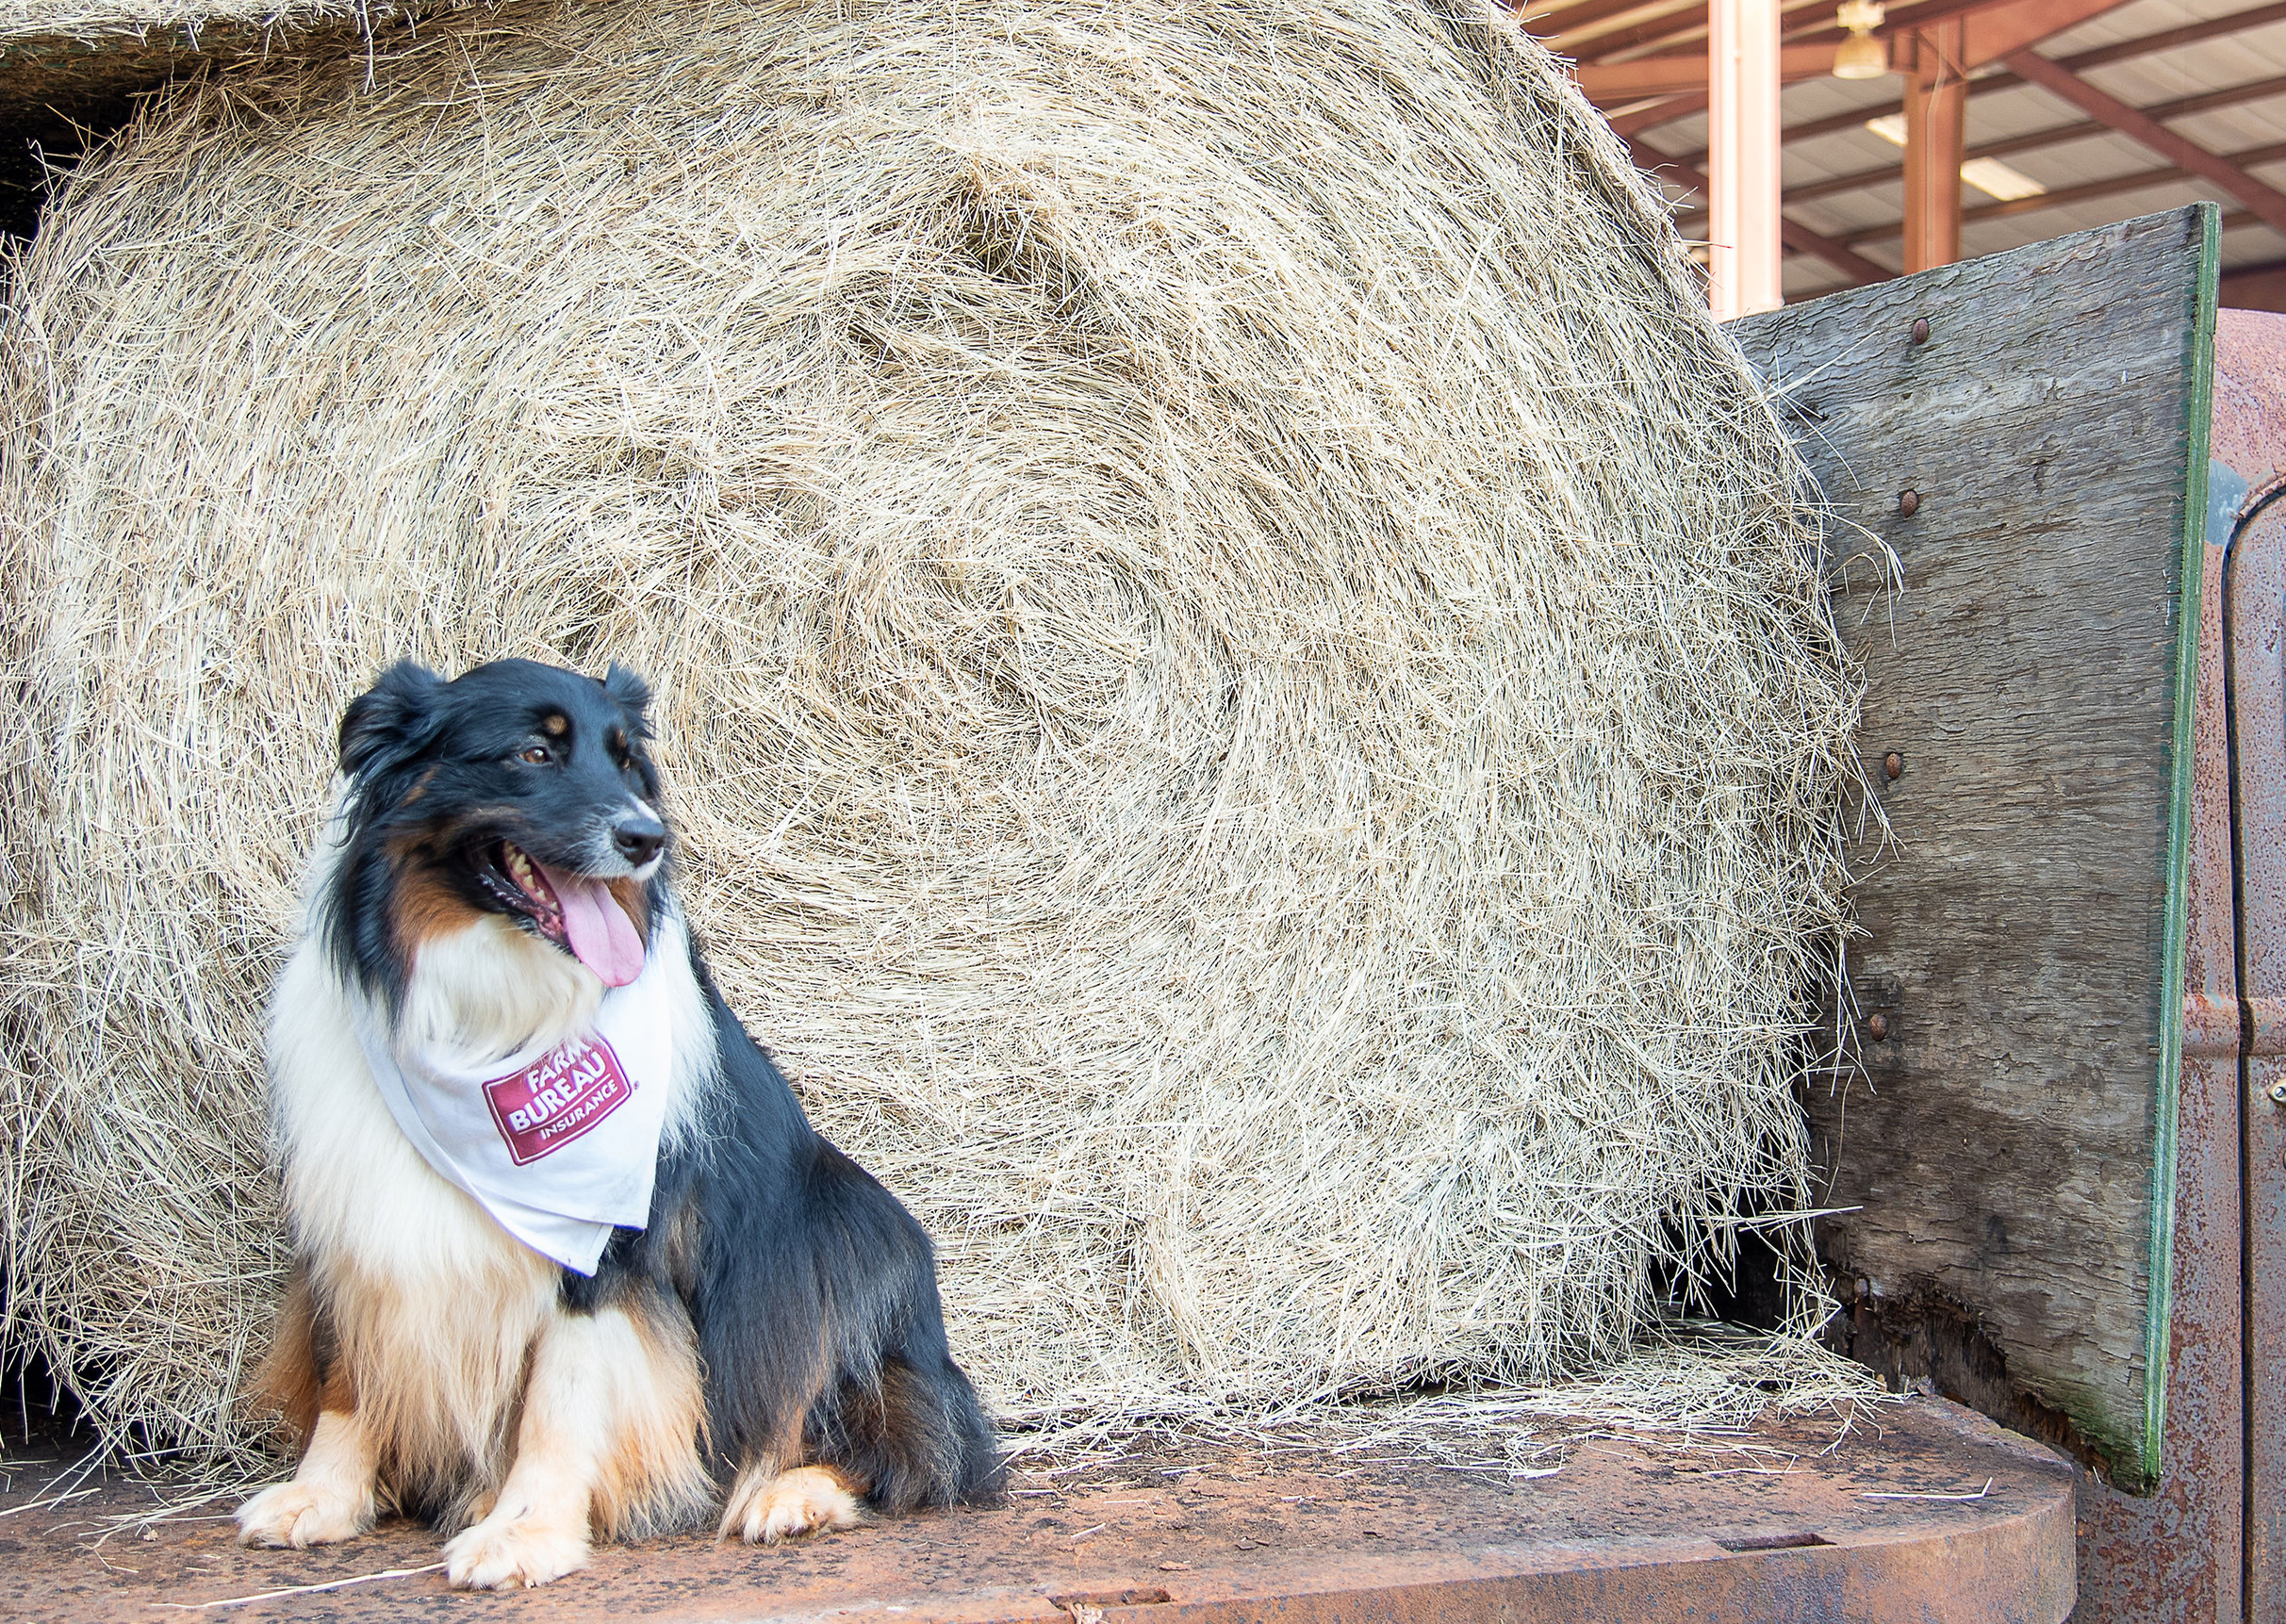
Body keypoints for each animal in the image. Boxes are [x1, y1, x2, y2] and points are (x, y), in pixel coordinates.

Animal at [229, 657, 1001, 1589]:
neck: (486, 1020)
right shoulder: (356, 1212)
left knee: (909, 1439)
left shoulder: (605, 1245)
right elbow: (346, 1368)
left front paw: (524, 1533)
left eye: (628, 761)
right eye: (533, 752)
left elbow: (558, 1402)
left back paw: (791, 1494)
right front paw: (321, 1496)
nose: (646, 837)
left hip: (844, 1237)